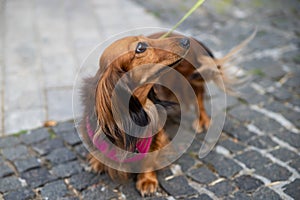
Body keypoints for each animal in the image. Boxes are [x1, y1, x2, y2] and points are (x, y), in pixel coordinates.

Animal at [79, 32, 246, 196]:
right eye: (140, 47)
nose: (185, 41)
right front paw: (97, 161)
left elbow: (148, 158)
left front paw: (147, 180)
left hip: (193, 79)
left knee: (199, 98)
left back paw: (202, 120)